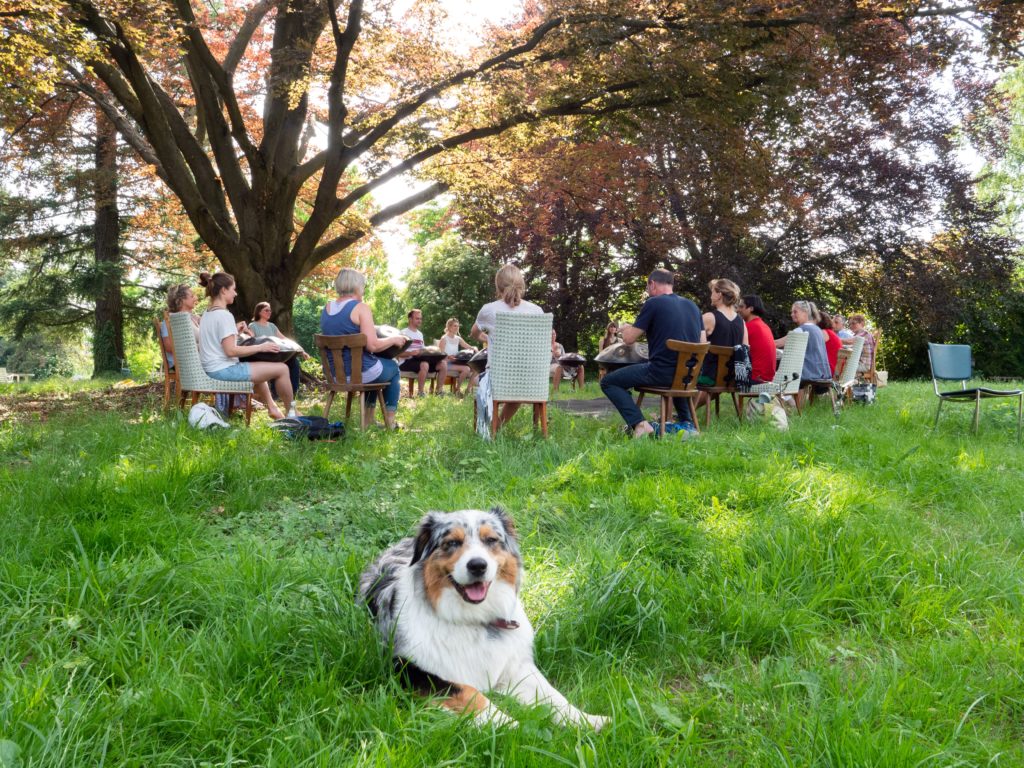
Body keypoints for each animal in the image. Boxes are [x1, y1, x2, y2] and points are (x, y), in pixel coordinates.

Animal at [360, 507, 606, 729]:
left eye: (491, 540)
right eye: (452, 543)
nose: (478, 565)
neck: (473, 620)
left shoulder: (516, 668)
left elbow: (553, 696)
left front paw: (588, 720)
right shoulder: (407, 669)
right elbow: (470, 692)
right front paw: (507, 724)